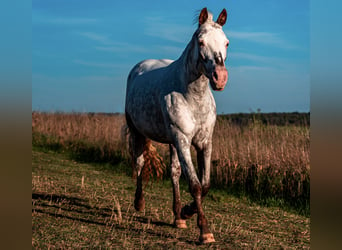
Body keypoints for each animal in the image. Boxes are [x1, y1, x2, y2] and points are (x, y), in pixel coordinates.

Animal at [125, 8, 230, 244]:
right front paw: (205, 231)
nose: (220, 78)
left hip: (172, 142)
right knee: (139, 163)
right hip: (138, 133)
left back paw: (178, 217)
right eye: (201, 41)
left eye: (227, 43)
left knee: (174, 172)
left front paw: (186, 213)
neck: (193, 96)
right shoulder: (182, 140)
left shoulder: (204, 142)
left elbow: (205, 185)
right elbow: (195, 185)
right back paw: (139, 203)